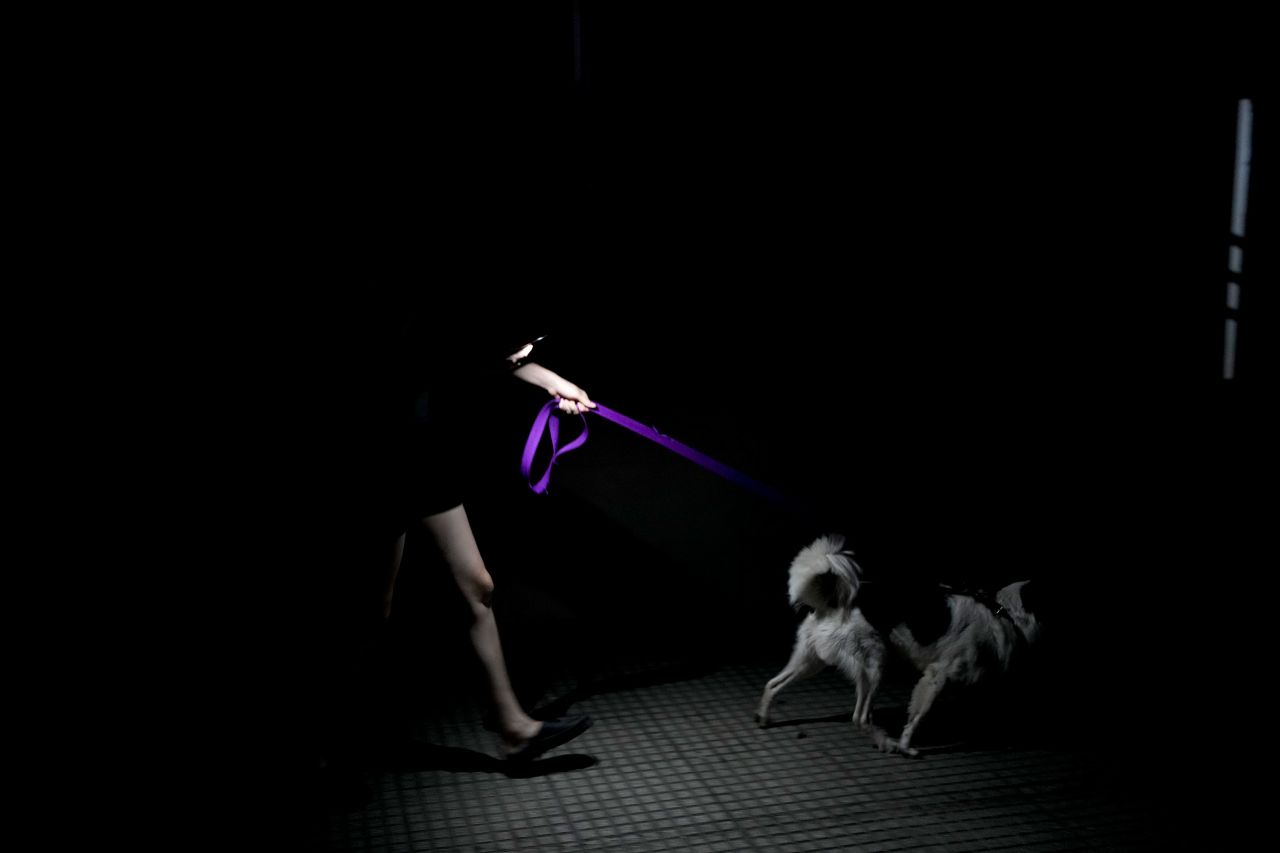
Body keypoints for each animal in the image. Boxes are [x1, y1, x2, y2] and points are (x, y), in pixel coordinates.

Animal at [757, 535, 1039, 753]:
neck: (1005, 612)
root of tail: (835, 602)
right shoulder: (937, 677)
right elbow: (916, 718)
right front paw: (906, 746)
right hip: (873, 665)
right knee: (860, 717)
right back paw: (887, 742)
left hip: (810, 661)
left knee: (772, 684)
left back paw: (763, 717)